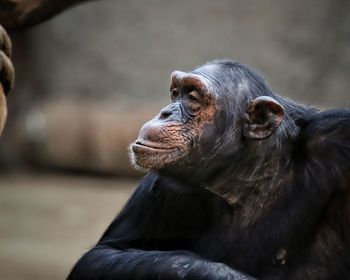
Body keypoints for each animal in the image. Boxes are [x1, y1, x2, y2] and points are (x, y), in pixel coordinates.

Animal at [67, 60, 348, 278]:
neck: (249, 177)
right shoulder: (162, 186)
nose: (165, 112)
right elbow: (101, 255)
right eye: (175, 93)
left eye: (192, 98)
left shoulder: (337, 140)